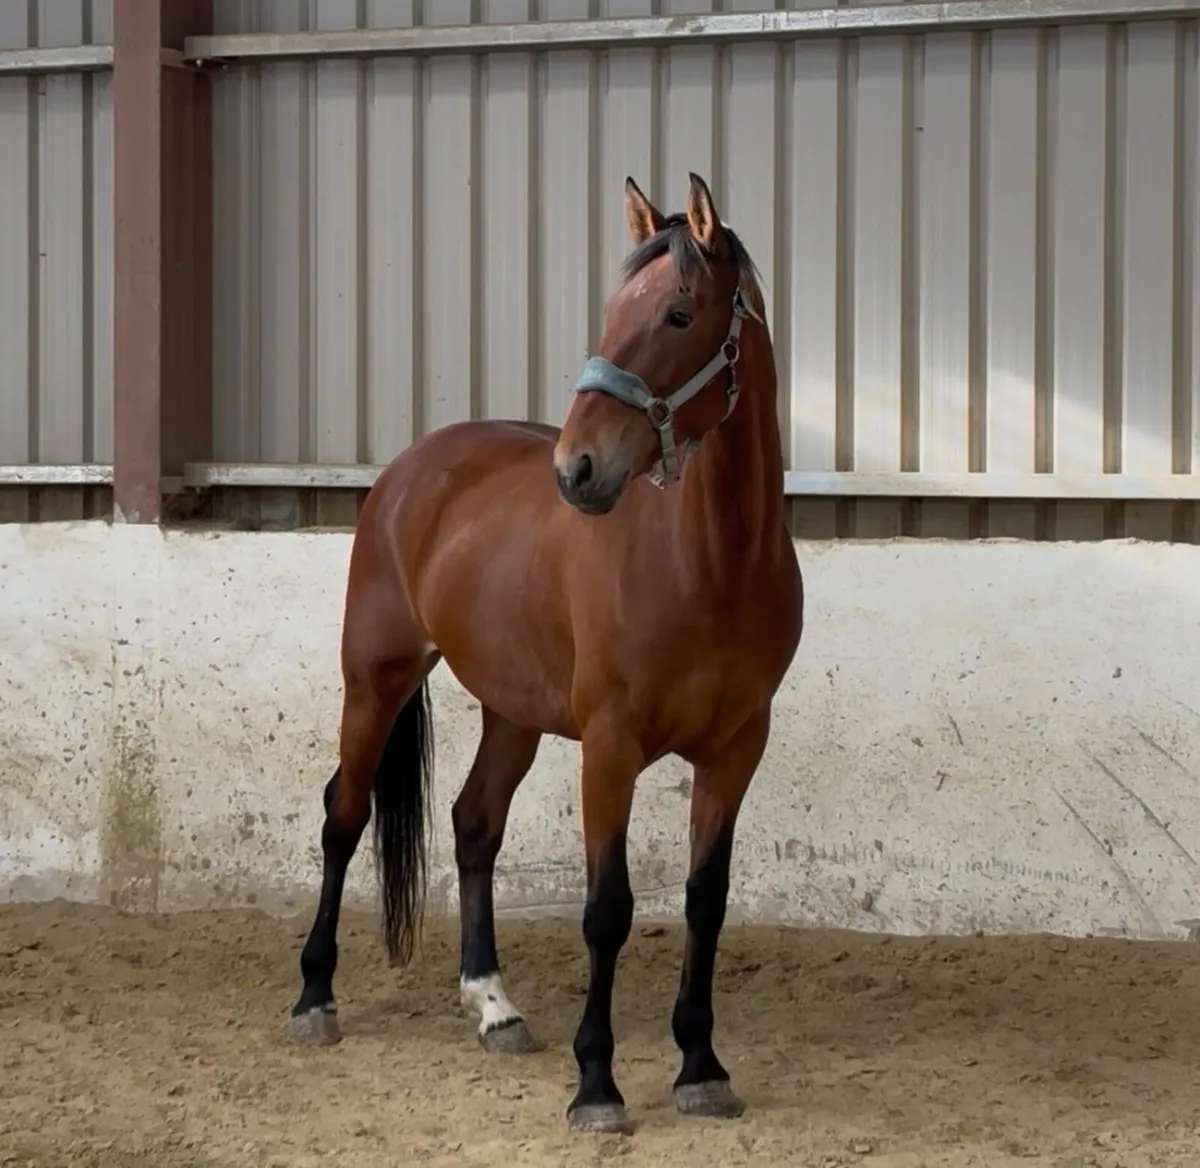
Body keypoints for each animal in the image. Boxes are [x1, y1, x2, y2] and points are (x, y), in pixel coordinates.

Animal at [287, 172, 805, 1136]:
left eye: (679, 314)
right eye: (611, 311)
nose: (579, 470)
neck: (709, 563)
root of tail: (412, 469)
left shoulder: (735, 750)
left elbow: (705, 901)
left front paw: (700, 1066)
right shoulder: (610, 748)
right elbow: (607, 909)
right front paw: (597, 1084)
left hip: (513, 713)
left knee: (473, 824)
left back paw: (494, 1005)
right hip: (373, 680)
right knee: (344, 815)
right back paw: (313, 999)